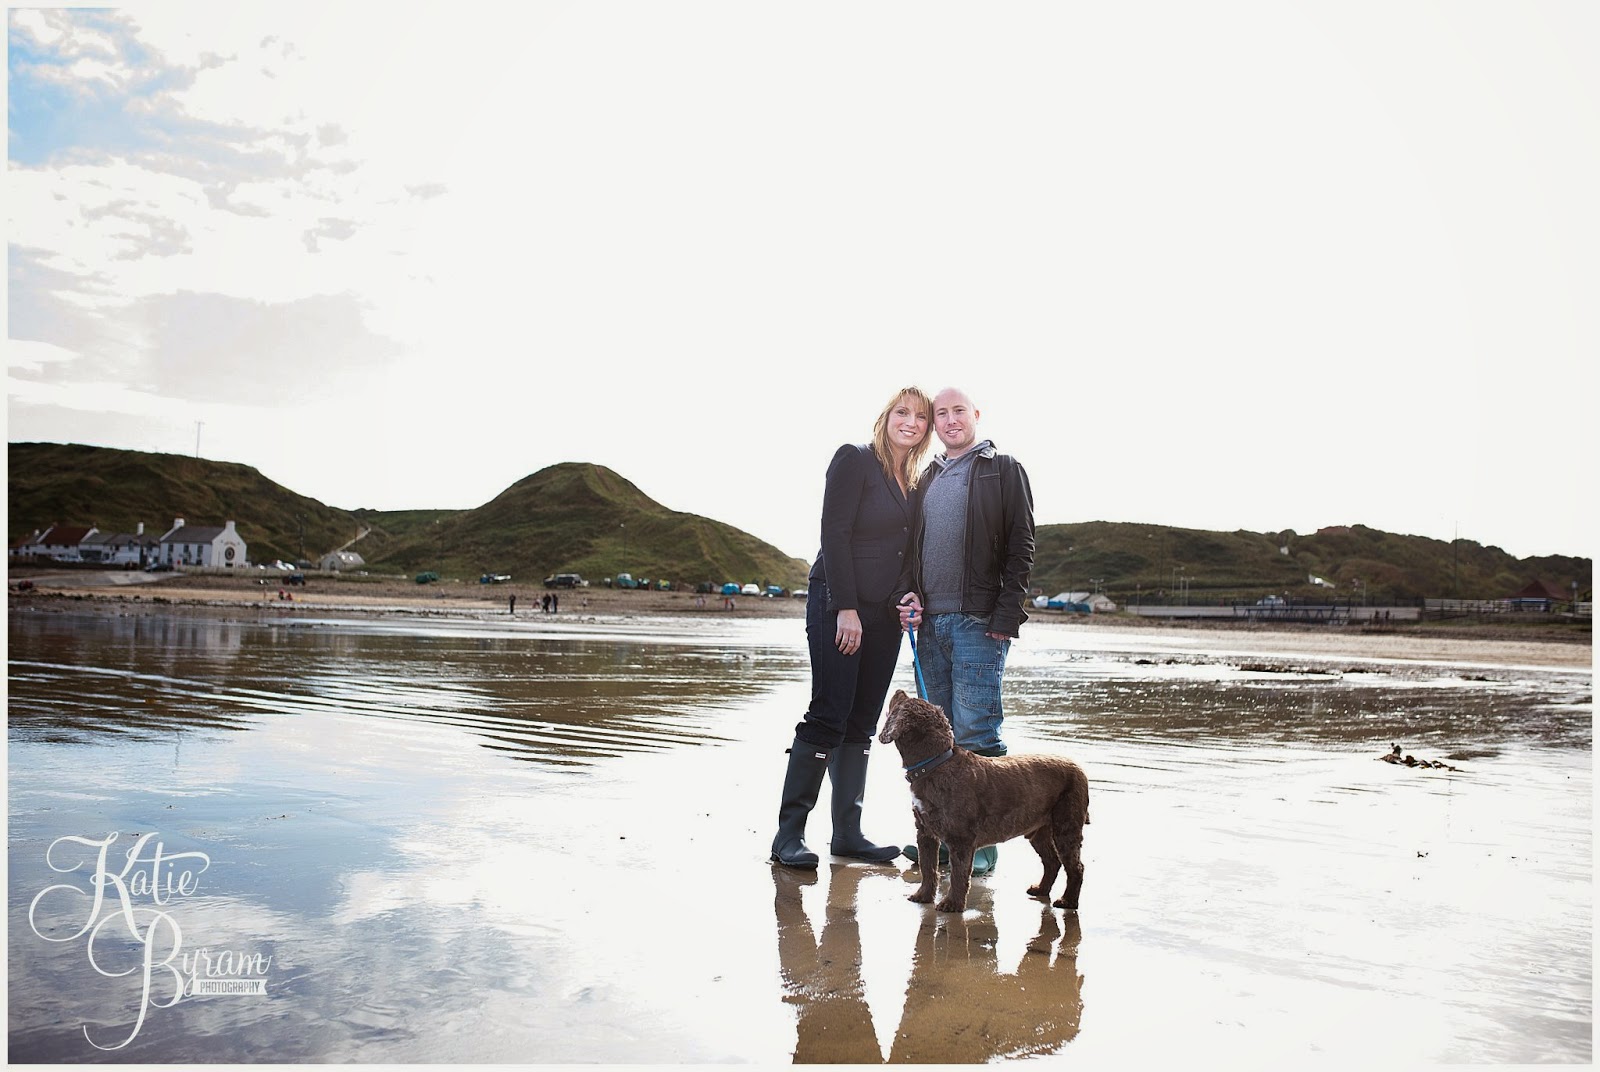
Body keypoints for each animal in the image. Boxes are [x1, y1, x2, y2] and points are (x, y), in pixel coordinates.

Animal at [876, 694, 1088, 908]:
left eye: (902, 702)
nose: (899, 691)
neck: (934, 765)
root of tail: (1078, 769)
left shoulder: (961, 839)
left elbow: (958, 874)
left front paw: (952, 904)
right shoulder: (925, 831)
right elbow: (928, 868)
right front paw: (923, 896)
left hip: (1066, 824)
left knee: (1075, 866)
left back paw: (1068, 901)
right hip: (1039, 829)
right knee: (1052, 861)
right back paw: (1041, 889)